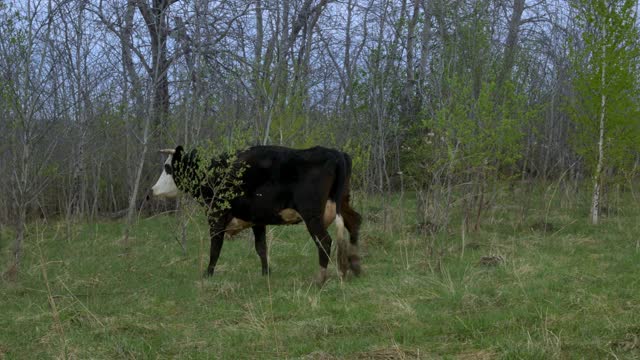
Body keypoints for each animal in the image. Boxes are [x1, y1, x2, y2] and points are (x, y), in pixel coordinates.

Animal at [149, 145, 360, 282]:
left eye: (168, 168)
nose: (152, 190)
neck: (214, 174)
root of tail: (335, 153)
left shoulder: (216, 217)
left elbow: (215, 248)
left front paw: (208, 274)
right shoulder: (258, 220)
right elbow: (261, 248)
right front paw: (266, 273)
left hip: (312, 215)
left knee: (325, 241)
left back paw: (321, 277)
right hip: (343, 203)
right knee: (355, 222)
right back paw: (356, 267)